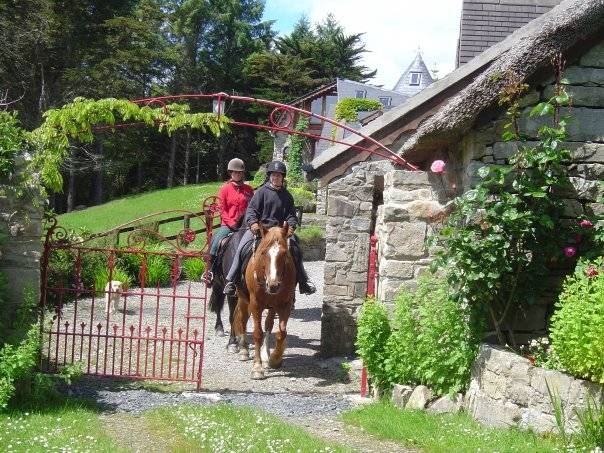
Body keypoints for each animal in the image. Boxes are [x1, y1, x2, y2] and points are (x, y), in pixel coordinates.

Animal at [232, 222, 296, 378]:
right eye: (263, 253)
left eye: (284, 253)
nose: (273, 285)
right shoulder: (256, 305)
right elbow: (257, 334)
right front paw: (257, 367)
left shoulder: (285, 304)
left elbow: (281, 332)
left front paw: (274, 359)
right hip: (243, 298)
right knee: (242, 319)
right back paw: (243, 350)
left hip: (272, 307)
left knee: (269, 325)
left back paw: (266, 356)